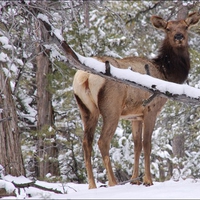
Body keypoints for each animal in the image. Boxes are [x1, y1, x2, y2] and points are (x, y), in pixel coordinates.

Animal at [73, 12, 200, 188]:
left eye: (185, 26)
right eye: (168, 28)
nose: (179, 36)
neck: (166, 73)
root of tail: (85, 76)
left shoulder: (135, 116)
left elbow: (137, 145)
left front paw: (135, 180)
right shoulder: (150, 109)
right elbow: (147, 144)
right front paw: (148, 180)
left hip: (86, 109)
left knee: (86, 142)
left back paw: (92, 185)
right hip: (111, 108)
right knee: (103, 141)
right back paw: (113, 182)